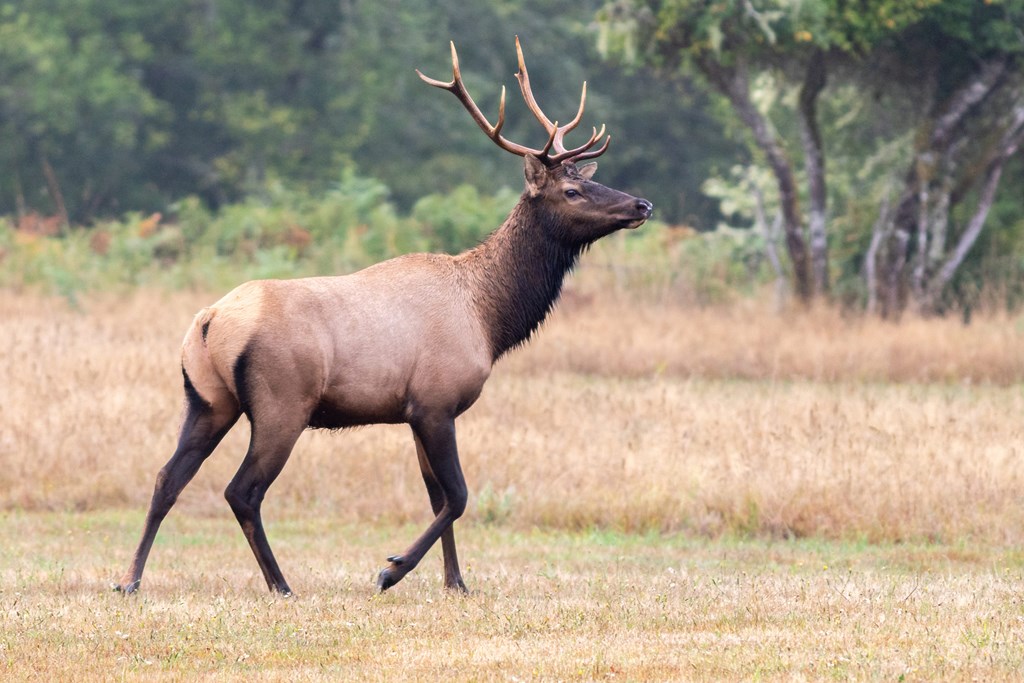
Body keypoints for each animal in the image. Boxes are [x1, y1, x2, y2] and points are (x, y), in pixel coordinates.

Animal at [115, 37, 653, 597]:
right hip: (282, 403)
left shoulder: (415, 411)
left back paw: (130, 579)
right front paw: (391, 570)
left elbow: (438, 498)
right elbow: (459, 496)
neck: (489, 319)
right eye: (571, 191)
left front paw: (456, 582)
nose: (642, 204)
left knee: (167, 477)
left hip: (207, 399)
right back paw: (281, 584)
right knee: (242, 490)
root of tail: (208, 322)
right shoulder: (435, 401)